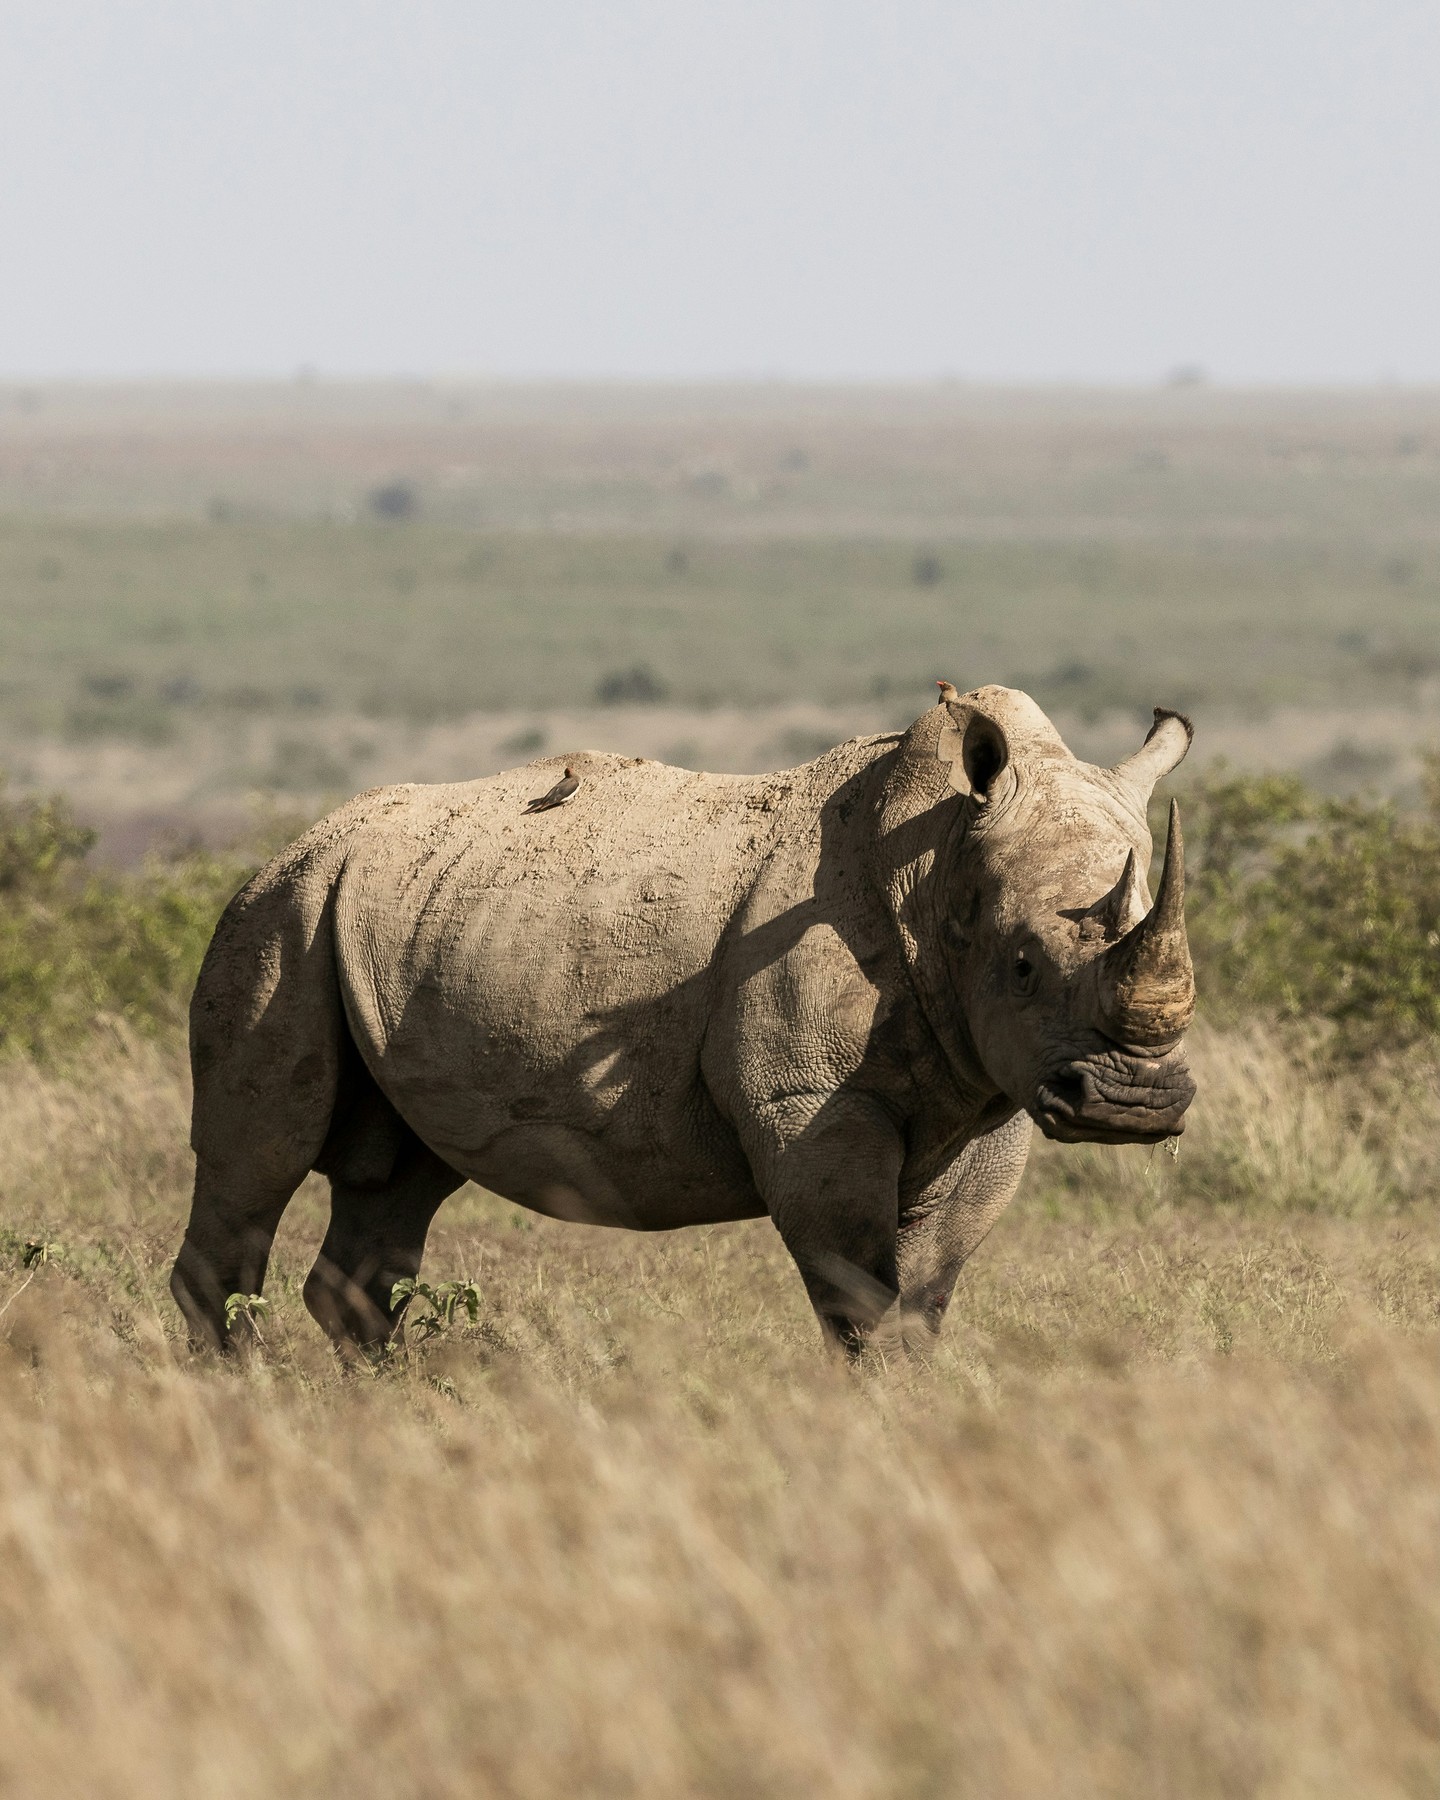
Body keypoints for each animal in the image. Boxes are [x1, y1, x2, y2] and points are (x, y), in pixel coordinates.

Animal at [171, 685, 1197, 1354]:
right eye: (1022, 966)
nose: (1132, 1103)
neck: (937, 864)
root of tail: (292, 846)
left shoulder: (992, 1096)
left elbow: (923, 1300)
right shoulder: (811, 1105)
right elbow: (859, 1299)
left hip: (386, 918)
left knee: (400, 1178)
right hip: (281, 918)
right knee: (258, 1157)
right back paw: (244, 1408)